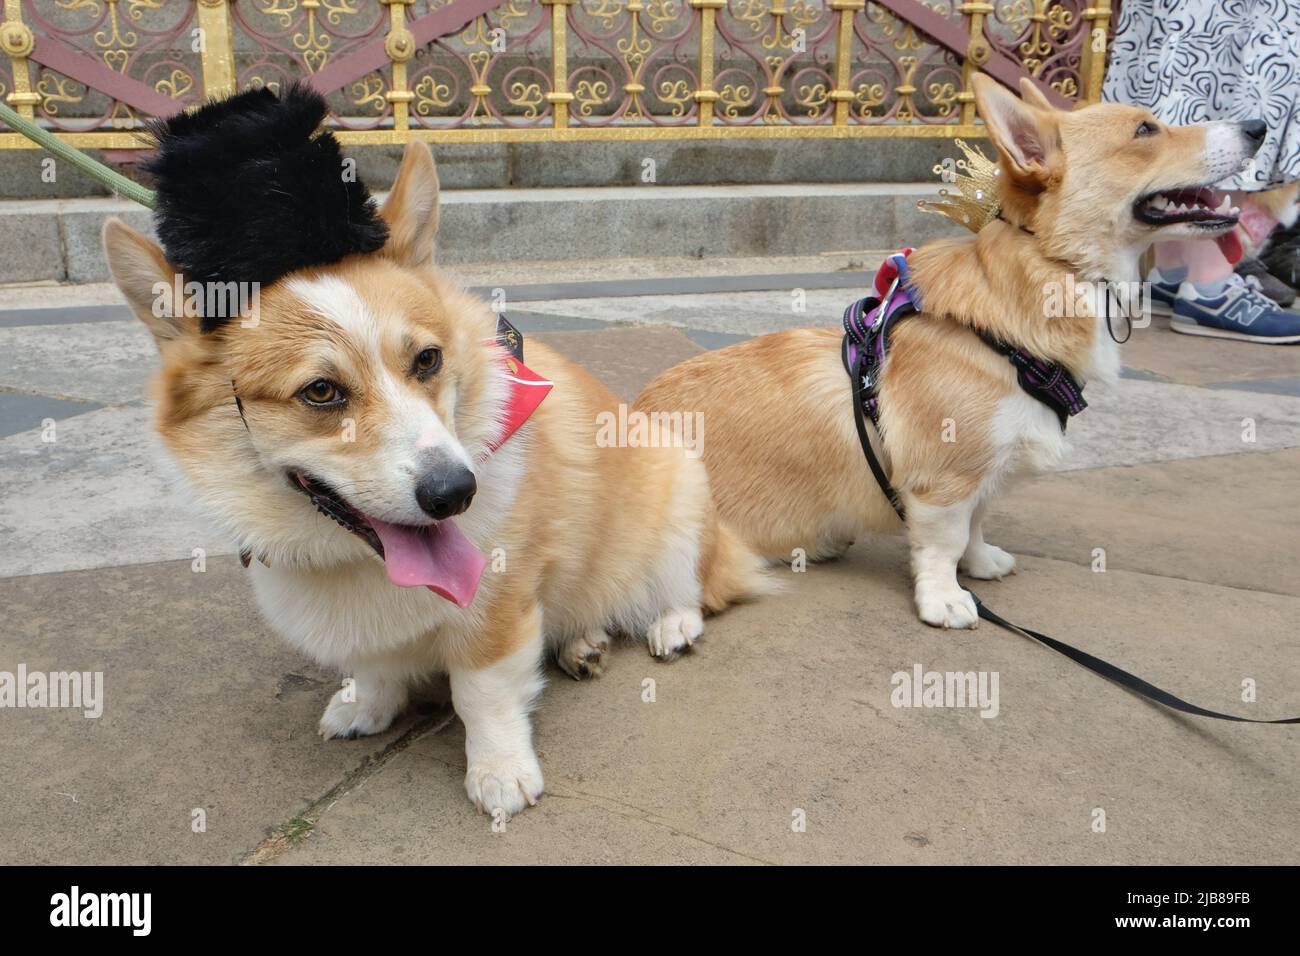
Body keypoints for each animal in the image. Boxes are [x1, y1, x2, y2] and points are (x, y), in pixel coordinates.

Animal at [109, 140, 769, 816]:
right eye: (320, 391)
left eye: (427, 360)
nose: (456, 493)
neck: (357, 560)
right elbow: (374, 667)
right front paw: (367, 707)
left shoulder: (498, 604)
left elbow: (483, 692)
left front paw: (500, 773)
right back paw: (582, 643)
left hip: (679, 496)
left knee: (695, 587)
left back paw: (671, 624)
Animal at [634, 74, 1263, 629]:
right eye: (1145, 130)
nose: (1258, 127)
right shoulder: (942, 481)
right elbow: (944, 543)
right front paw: (945, 600)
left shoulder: (984, 469)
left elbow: (978, 525)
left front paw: (981, 565)